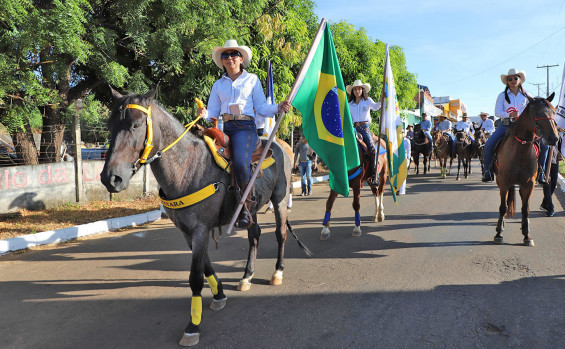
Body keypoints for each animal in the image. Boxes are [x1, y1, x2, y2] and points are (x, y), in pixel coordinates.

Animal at [99, 87, 306, 346]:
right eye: (110, 124)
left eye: (136, 125)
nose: (111, 178)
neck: (188, 168)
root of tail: (279, 144)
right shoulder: (188, 232)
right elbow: (206, 267)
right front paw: (219, 295)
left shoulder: (200, 230)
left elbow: (195, 277)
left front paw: (193, 326)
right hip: (252, 208)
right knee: (254, 235)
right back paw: (246, 277)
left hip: (279, 199)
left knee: (280, 234)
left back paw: (277, 272)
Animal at [492, 92, 556, 245]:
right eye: (537, 112)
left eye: (553, 112)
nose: (554, 138)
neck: (520, 152)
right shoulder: (504, 183)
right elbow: (502, 207)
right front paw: (499, 233)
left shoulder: (528, 185)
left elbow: (526, 209)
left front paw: (527, 235)